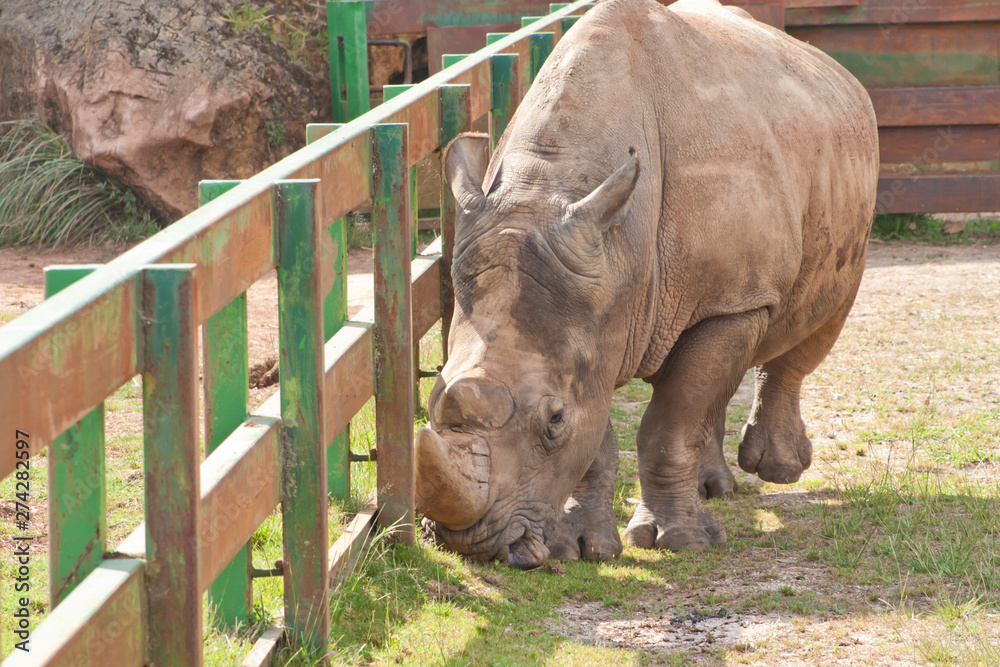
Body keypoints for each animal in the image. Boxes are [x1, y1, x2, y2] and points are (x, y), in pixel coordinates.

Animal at [415, 0, 878, 569]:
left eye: (554, 420)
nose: (463, 542)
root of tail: (833, 69)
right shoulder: (593, 317)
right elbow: (606, 432)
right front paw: (580, 549)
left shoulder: (730, 300)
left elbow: (668, 426)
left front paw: (678, 542)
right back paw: (713, 490)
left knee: (812, 323)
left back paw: (777, 469)